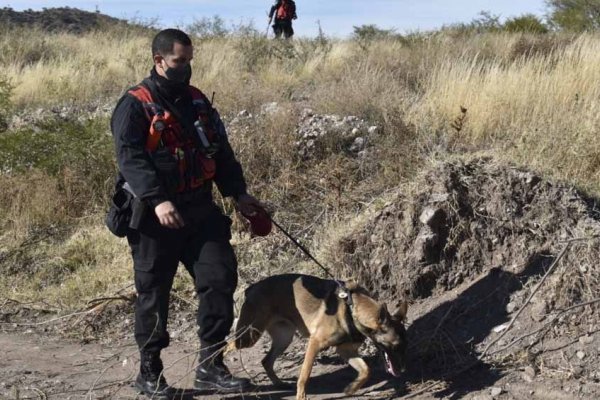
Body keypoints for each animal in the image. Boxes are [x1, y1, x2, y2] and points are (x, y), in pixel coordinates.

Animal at [225, 274, 408, 398]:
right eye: (395, 346)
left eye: (403, 347)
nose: (401, 371)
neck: (352, 309)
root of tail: (251, 288)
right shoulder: (315, 344)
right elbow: (304, 376)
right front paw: (301, 397)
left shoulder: (345, 351)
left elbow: (366, 370)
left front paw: (352, 388)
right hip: (249, 336)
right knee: (227, 345)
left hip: (284, 338)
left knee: (266, 361)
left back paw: (279, 383)